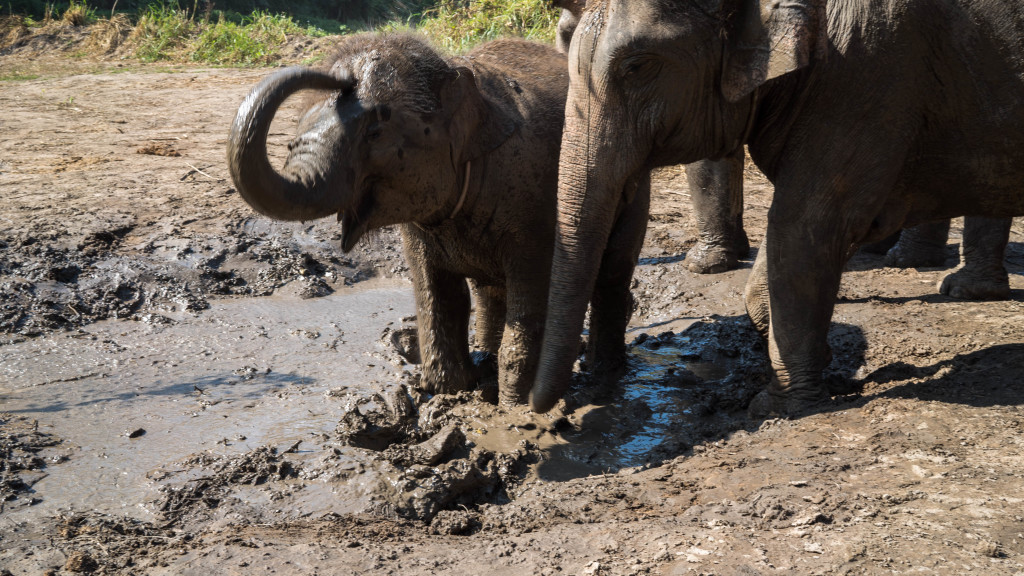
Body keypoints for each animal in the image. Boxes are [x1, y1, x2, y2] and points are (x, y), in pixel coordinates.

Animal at [228, 33, 647, 405]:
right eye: (293, 136)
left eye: (375, 130)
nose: (339, 80)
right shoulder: (420, 226)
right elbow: (440, 292)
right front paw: (454, 390)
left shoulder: (536, 205)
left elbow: (532, 289)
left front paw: (513, 407)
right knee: (489, 291)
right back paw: (489, 356)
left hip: (632, 184)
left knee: (612, 272)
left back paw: (604, 375)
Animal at [532, 0, 1024, 414]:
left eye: (637, 66)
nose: (548, 410)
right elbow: (787, 241)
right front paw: (820, 362)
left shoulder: (868, 73)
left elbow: (804, 224)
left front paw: (779, 407)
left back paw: (958, 288)